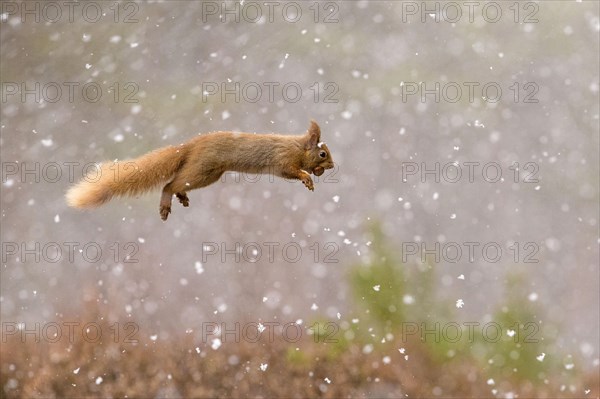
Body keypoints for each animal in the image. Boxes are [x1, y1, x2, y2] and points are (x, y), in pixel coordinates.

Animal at [69, 121, 338, 222]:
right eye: (323, 154)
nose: (333, 166)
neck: (298, 147)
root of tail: (190, 146)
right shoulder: (283, 161)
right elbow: (293, 172)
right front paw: (307, 178)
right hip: (201, 170)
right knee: (169, 184)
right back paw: (167, 203)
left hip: (208, 175)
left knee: (177, 184)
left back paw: (181, 198)